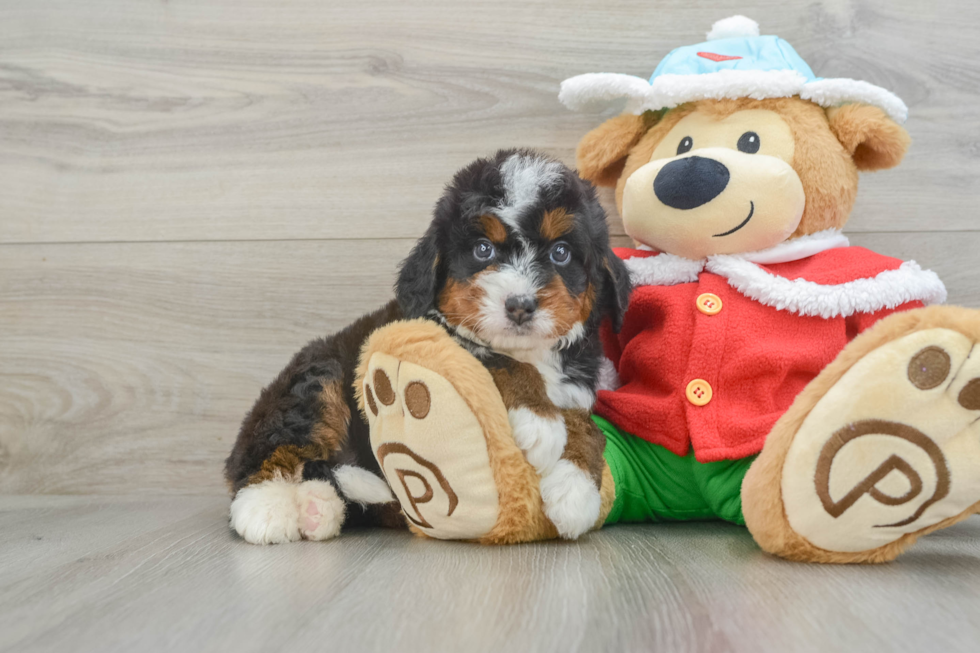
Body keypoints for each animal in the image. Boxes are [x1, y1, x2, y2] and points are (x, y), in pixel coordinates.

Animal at [226, 150, 632, 544]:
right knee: (274, 450)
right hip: (316, 380)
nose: (520, 305)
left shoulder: (577, 390)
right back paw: (268, 509)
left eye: (561, 253)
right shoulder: (433, 333)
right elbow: (493, 357)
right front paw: (540, 420)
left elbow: (588, 427)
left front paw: (575, 491)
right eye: (483, 250)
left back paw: (318, 509)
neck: (531, 352)